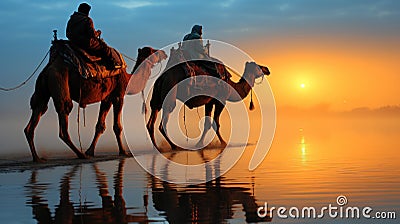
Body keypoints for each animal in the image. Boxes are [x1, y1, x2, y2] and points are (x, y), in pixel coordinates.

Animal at [23, 41, 167, 162]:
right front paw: (123, 151)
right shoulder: (118, 95)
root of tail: (49, 67)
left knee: (37, 111)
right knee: (64, 113)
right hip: (59, 80)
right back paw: (80, 154)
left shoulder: (107, 98)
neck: (127, 79)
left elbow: (100, 125)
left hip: (42, 87)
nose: (163, 53)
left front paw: (90, 151)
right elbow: (117, 126)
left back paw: (37, 158)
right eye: (152, 50)